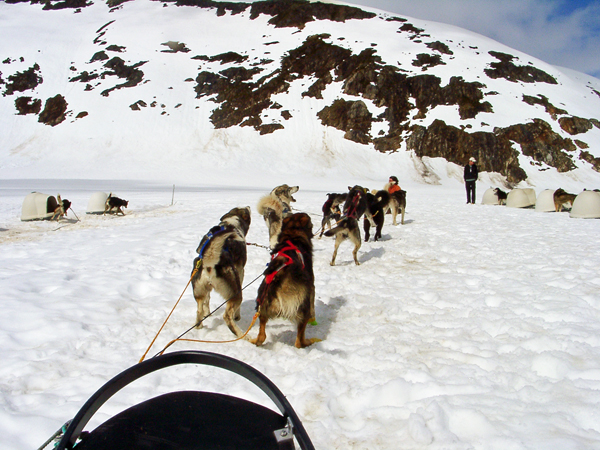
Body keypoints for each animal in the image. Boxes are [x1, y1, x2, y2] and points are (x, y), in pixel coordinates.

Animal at [190, 207, 251, 338]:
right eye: (246, 211)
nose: (248, 206)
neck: (231, 224)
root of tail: (209, 265)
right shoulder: (240, 272)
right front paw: (238, 316)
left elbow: (207, 301)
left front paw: (207, 313)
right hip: (236, 293)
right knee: (227, 316)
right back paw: (241, 334)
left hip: (199, 291)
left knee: (199, 309)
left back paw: (199, 325)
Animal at [250, 213, 318, 350]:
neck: (292, 235)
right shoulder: (312, 285)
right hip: (303, 309)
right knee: (298, 342)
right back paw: (307, 342)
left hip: (262, 306)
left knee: (262, 336)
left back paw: (255, 341)